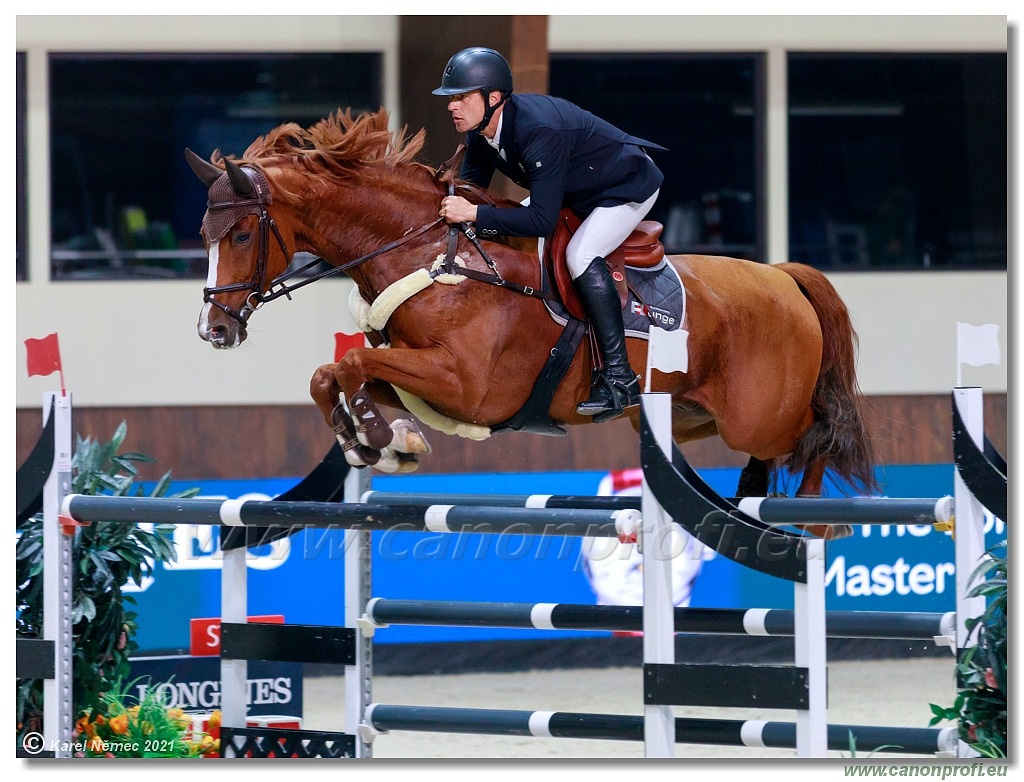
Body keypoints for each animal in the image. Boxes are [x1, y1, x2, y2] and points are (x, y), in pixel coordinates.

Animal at [188, 108, 876, 536]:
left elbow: (353, 360)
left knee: (819, 430)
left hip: (758, 412)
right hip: (685, 414)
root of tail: (783, 277)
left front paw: (375, 439)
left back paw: (811, 516)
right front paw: (380, 441)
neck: (430, 252)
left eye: (242, 234)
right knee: (772, 448)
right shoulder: (420, 376)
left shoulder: (466, 385)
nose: (214, 332)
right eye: (204, 235)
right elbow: (333, 373)